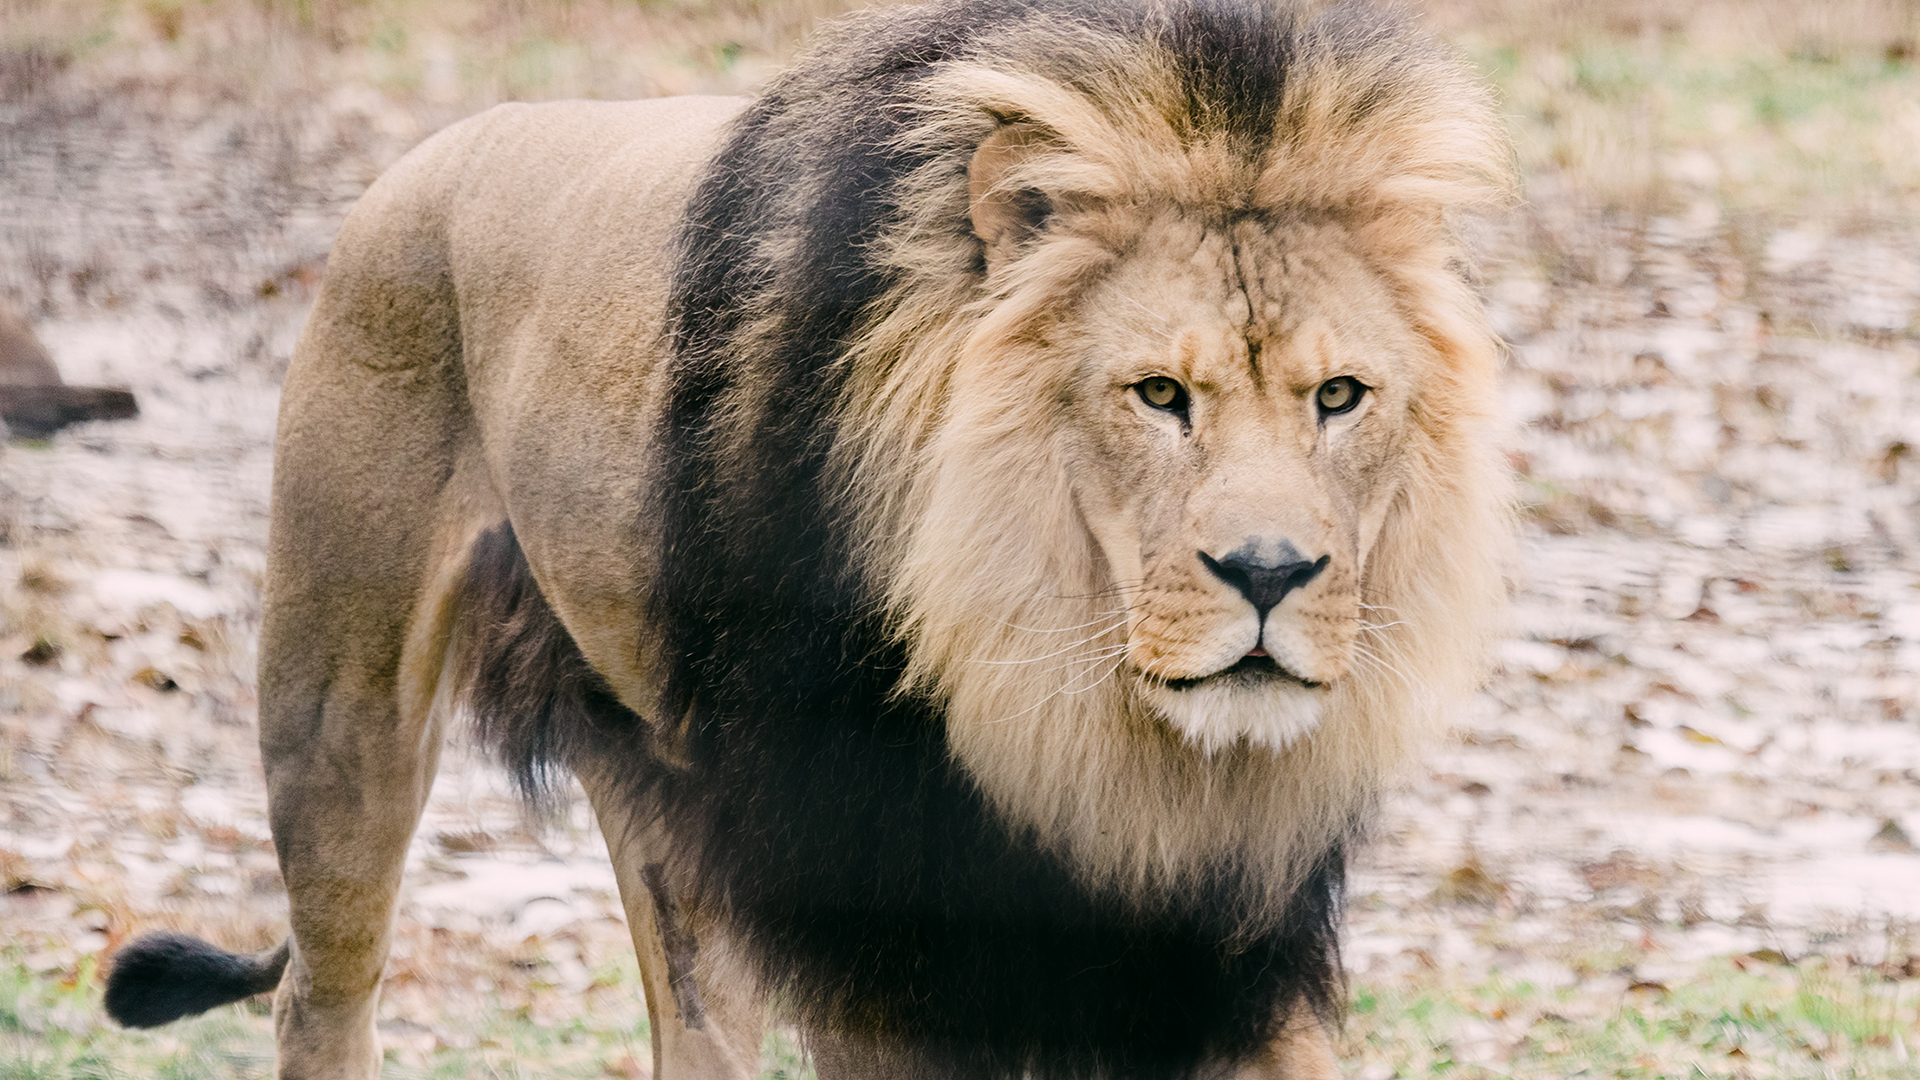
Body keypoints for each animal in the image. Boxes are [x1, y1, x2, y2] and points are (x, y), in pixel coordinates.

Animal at [101, 0, 1512, 1077]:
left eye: (1341, 398)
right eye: (1159, 395)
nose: (1272, 574)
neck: (1071, 713)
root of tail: (434, 152)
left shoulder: (1225, 952)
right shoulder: (883, 941)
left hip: (662, 794)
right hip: (340, 699)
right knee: (322, 989)